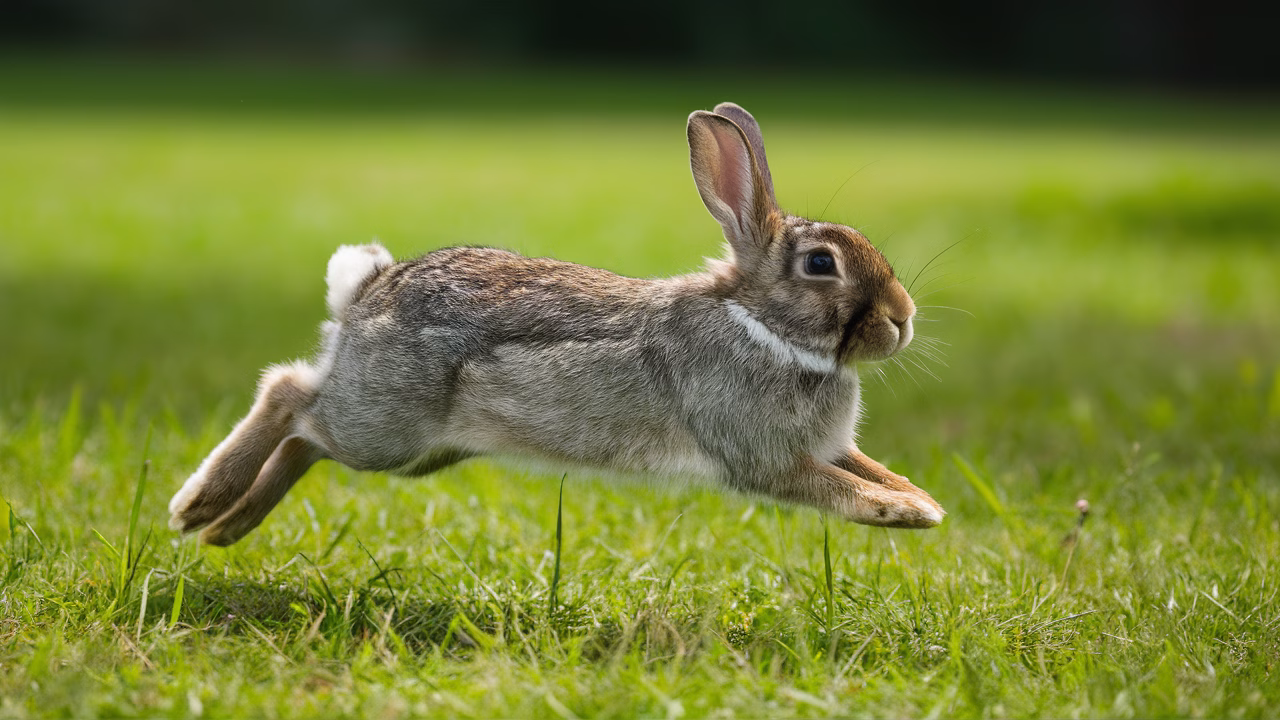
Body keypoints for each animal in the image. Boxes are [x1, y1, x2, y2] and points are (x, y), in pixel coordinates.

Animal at [168, 102, 945, 547]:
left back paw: (224, 529)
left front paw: (921, 499)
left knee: (305, 438)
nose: (902, 321)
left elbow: (868, 467)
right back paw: (196, 505)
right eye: (820, 264)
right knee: (288, 394)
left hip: (415, 452)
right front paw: (907, 517)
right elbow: (836, 489)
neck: (760, 323)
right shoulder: (763, 456)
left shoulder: (829, 446)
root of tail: (366, 293)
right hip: (384, 425)